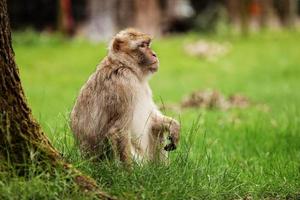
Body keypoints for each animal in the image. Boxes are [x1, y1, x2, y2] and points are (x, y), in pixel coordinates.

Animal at [69, 28, 180, 164]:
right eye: (142, 45)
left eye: (148, 44)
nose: (154, 54)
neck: (125, 65)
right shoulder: (123, 82)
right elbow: (118, 131)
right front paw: (128, 170)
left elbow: (153, 119)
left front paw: (173, 126)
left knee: (156, 129)